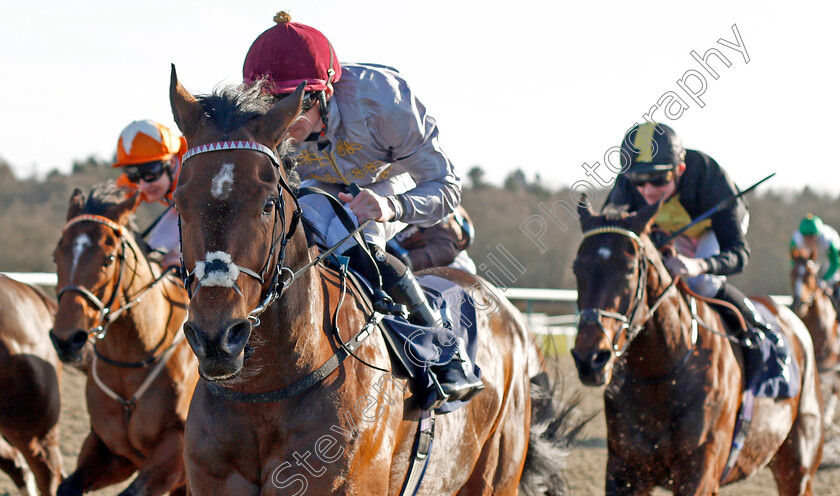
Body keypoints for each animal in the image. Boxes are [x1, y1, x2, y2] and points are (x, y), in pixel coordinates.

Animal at [50, 183, 197, 496]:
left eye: (107, 259)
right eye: (56, 256)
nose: (67, 340)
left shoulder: (176, 449)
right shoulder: (112, 450)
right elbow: (68, 485)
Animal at [568, 200, 824, 494]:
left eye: (630, 269)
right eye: (577, 268)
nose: (590, 359)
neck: (660, 374)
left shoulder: (699, 470)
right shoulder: (625, 470)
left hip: (797, 467)